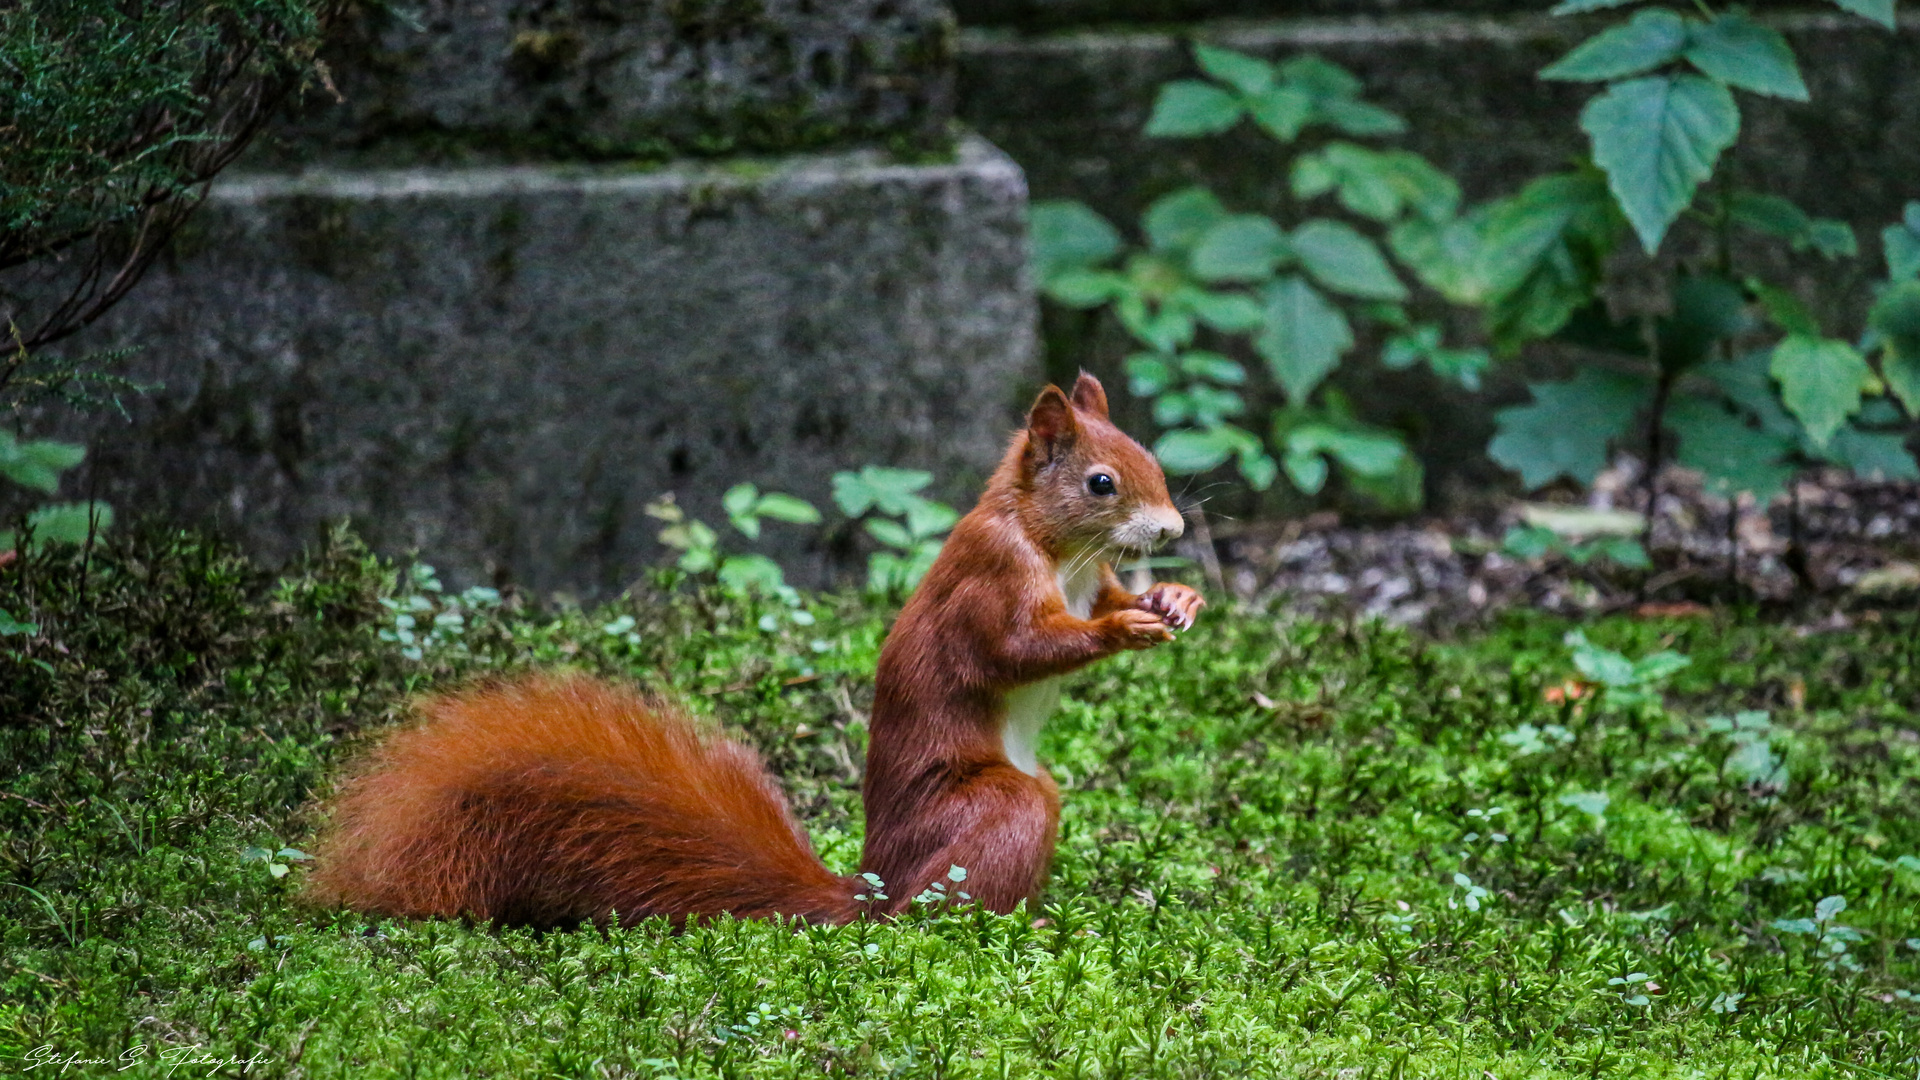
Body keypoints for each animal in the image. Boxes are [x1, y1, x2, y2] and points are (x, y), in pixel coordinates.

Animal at [307, 374, 1205, 922]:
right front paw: (1120, 630)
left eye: (1153, 460)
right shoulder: (991, 581)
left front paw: (1172, 598)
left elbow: (1113, 597)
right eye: (1099, 483)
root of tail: (874, 893)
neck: (1059, 552)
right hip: (997, 810)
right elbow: (1016, 649)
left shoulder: (1092, 577)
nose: (1172, 530)